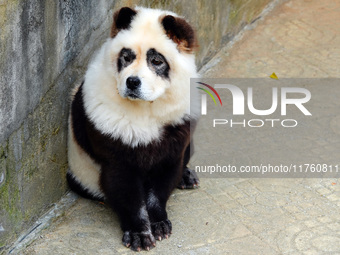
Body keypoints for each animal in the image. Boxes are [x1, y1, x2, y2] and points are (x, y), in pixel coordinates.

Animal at [66, 5, 199, 251]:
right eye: (126, 58)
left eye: (156, 61)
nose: (133, 82)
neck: (145, 107)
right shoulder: (108, 128)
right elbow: (124, 187)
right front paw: (140, 234)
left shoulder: (177, 124)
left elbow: (164, 176)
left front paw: (158, 223)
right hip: (82, 172)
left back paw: (187, 177)